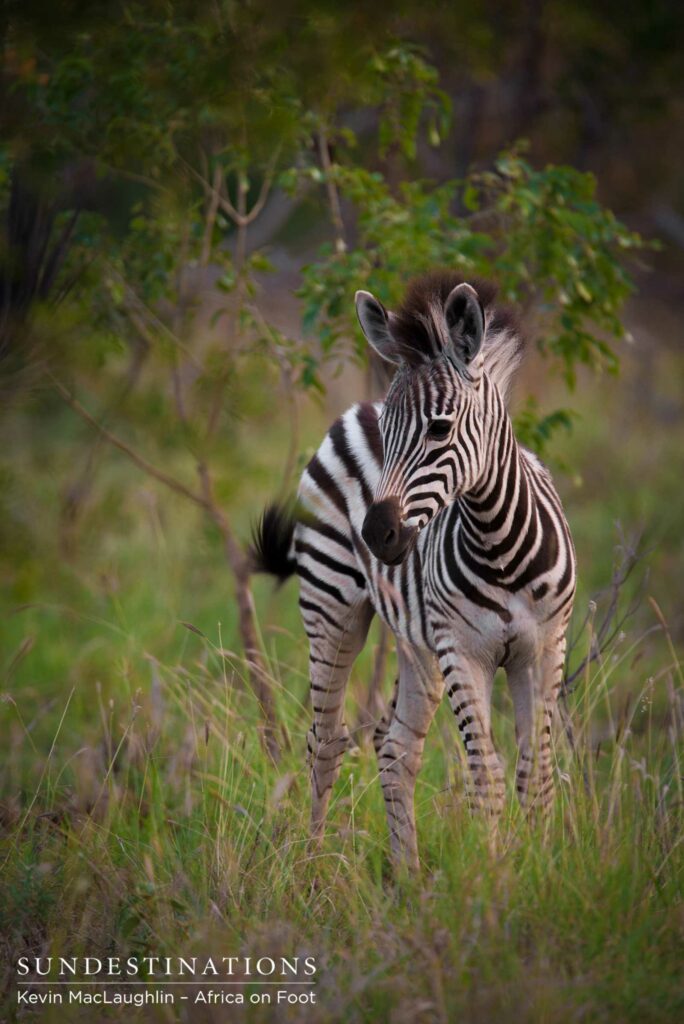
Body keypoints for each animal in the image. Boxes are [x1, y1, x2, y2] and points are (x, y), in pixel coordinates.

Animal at [253, 270, 576, 871]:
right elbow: (486, 777)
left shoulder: (544, 646)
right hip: (332, 608)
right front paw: (493, 878)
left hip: (416, 643)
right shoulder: (463, 649)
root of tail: (357, 407)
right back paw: (311, 864)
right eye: (390, 432)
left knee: (394, 746)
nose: (376, 534)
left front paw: (543, 873)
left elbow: (536, 774)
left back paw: (406, 873)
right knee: (325, 741)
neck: (500, 546)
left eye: (440, 429)